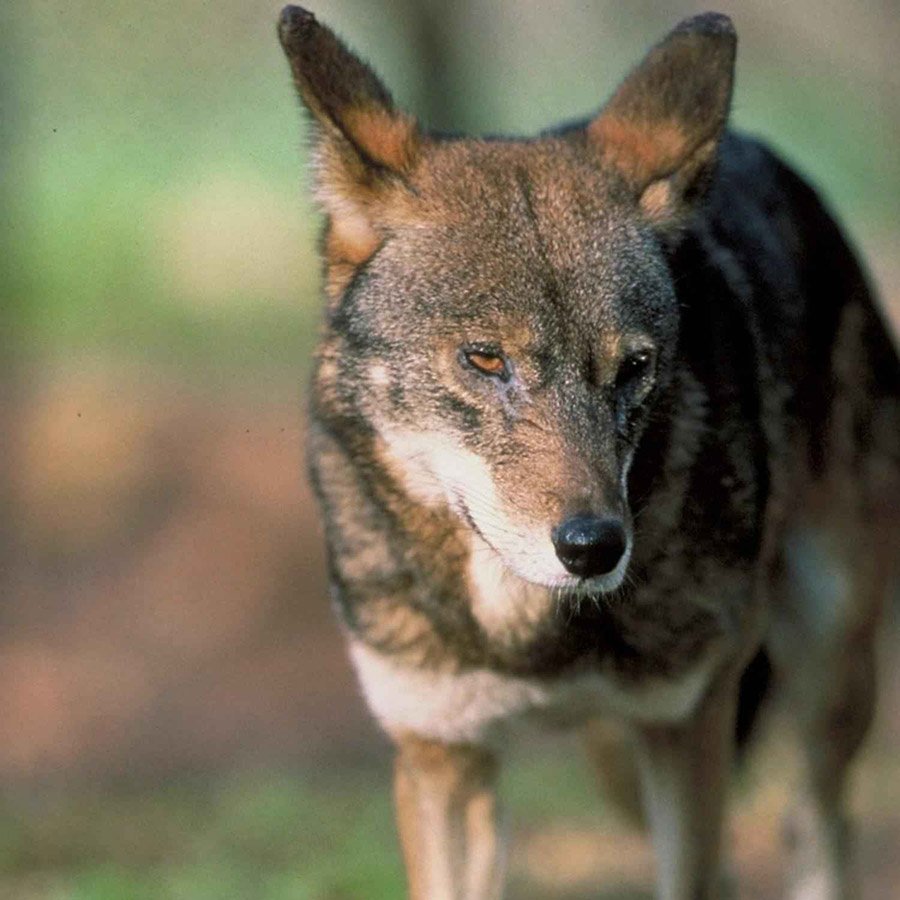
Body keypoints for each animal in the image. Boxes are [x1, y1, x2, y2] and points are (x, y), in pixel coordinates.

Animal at [278, 7, 899, 899]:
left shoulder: (687, 724)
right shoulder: (443, 758)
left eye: (633, 367)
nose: (594, 547)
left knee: (817, 823)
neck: (527, 635)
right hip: (621, 763)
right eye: (486, 359)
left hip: (823, 669)